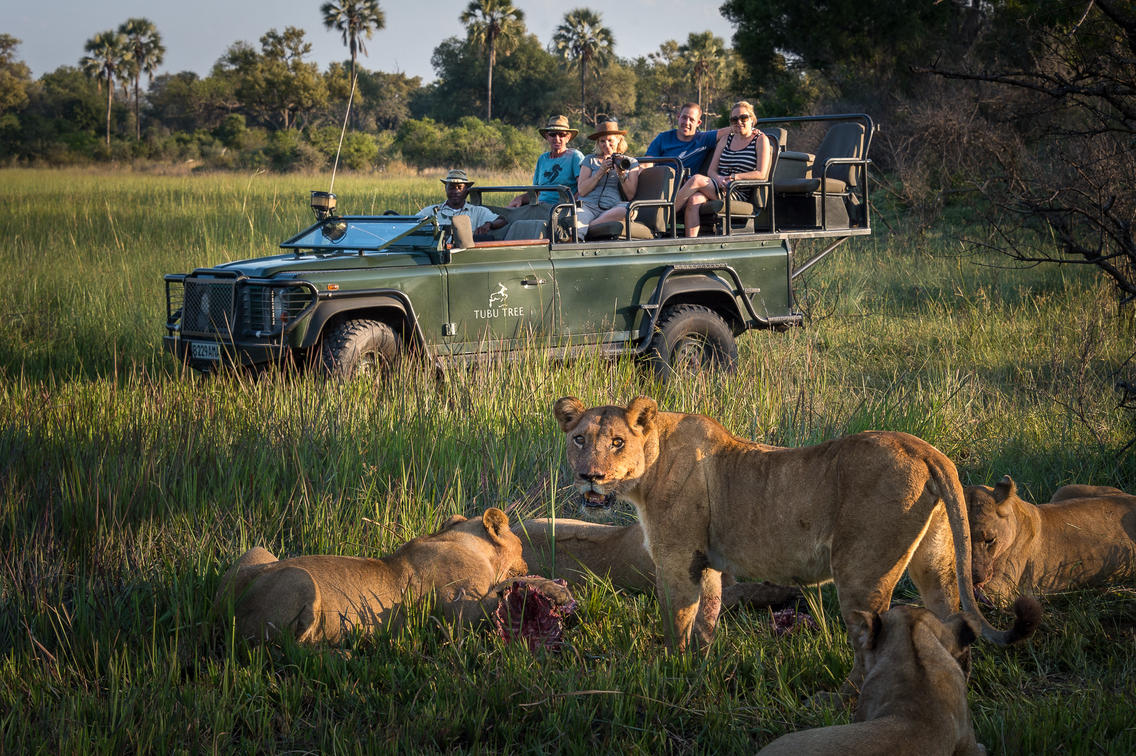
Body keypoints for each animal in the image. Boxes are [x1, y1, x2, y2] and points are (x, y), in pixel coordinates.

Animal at [214, 507, 561, 641]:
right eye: (520, 546)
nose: (530, 563)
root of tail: (220, 610)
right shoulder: (460, 613)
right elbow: (509, 585)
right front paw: (554, 589)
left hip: (255, 551)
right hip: (299, 578)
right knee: (288, 651)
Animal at [549, 395, 1040, 691]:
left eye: (617, 442)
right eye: (579, 439)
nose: (590, 476)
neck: (646, 471)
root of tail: (923, 448)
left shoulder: (676, 558)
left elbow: (678, 621)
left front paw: (671, 672)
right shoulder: (706, 561)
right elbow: (707, 619)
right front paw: (701, 670)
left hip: (861, 570)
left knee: (869, 639)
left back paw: (846, 701)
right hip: (933, 562)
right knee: (955, 622)